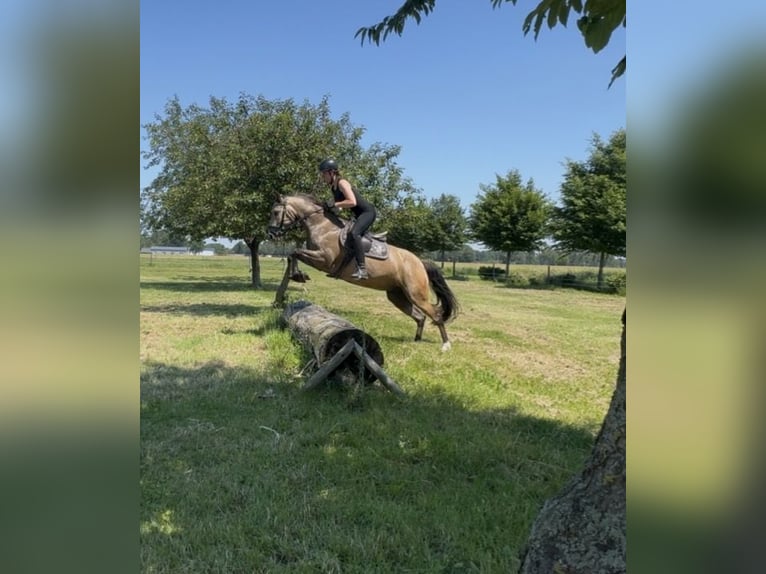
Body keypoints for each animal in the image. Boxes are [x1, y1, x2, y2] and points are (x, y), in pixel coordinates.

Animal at [267, 194, 459, 352]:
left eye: (275, 212)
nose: (270, 234)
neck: (322, 226)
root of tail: (420, 262)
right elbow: (293, 254)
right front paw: (297, 275)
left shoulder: (324, 260)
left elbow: (295, 252)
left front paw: (298, 275)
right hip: (397, 295)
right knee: (420, 317)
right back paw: (416, 341)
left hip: (416, 294)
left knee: (435, 314)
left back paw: (446, 344)